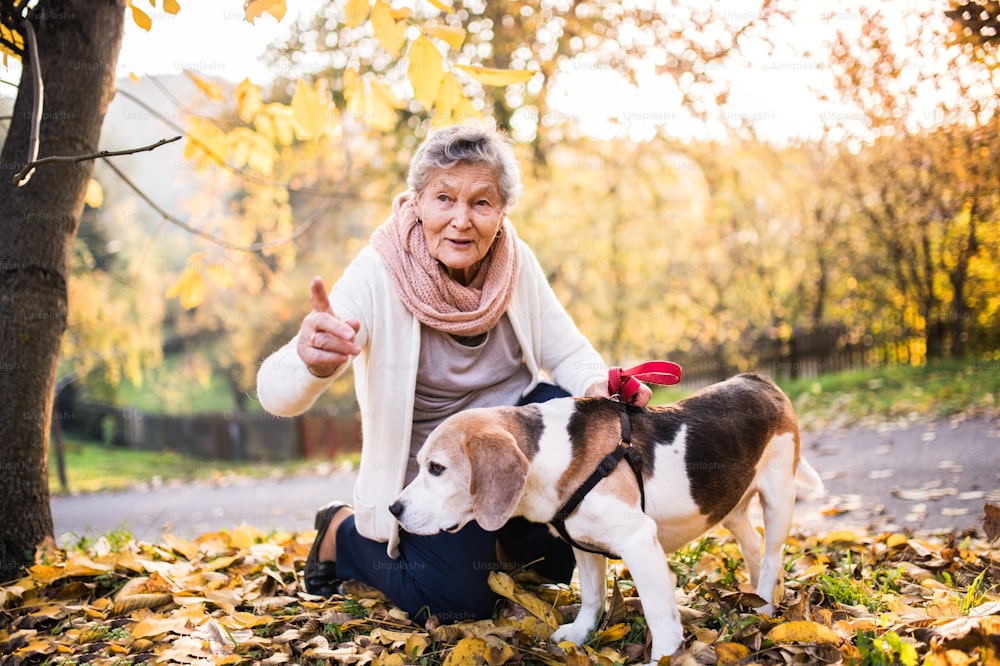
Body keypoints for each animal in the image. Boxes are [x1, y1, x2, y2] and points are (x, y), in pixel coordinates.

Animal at [388, 374, 820, 660]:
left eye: (437, 469)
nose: (394, 509)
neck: (552, 455)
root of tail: (760, 380)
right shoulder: (582, 543)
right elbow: (593, 596)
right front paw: (579, 635)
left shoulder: (638, 541)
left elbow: (660, 614)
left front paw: (664, 658)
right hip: (729, 507)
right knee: (752, 546)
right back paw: (755, 598)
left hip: (778, 497)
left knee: (772, 556)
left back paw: (764, 606)